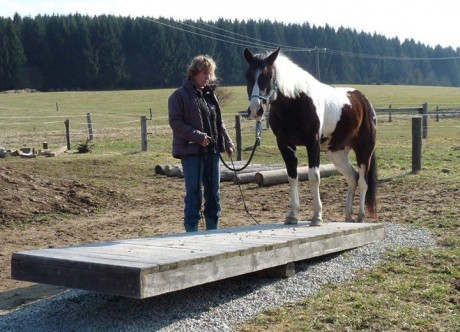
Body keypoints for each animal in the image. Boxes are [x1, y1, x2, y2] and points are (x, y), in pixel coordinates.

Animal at [244, 47, 378, 226]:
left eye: (269, 75)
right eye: (248, 76)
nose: (255, 110)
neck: (295, 102)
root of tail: (363, 100)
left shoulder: (312, 144)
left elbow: (314, 177)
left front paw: (317, 217)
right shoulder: (285, 144)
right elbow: (292, 177)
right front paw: (292, 216)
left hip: (364, 150)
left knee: (363, 182)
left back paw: (360, 216)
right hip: (337, 154)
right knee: (352, 178)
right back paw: (348, 215)